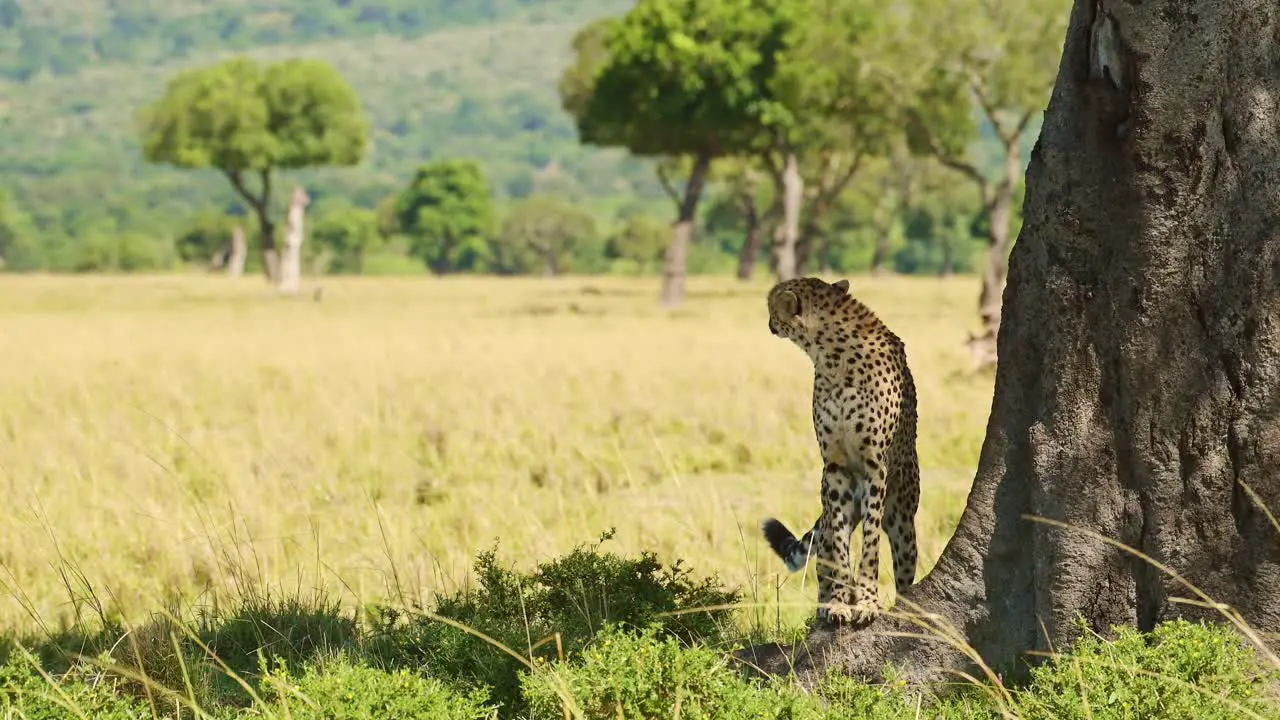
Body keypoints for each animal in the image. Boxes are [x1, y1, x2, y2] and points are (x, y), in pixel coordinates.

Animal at [757, 278, 921, 625]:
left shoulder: (875, 467)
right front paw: (841, 603)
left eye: (772, 306)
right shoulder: (835, 468)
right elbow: (841, 551)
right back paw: (822, 607)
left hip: (902, 518)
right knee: (824, 555)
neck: (832, 358)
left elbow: (870, 544)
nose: (768, 324)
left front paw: (869, 603)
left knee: (904, 565)